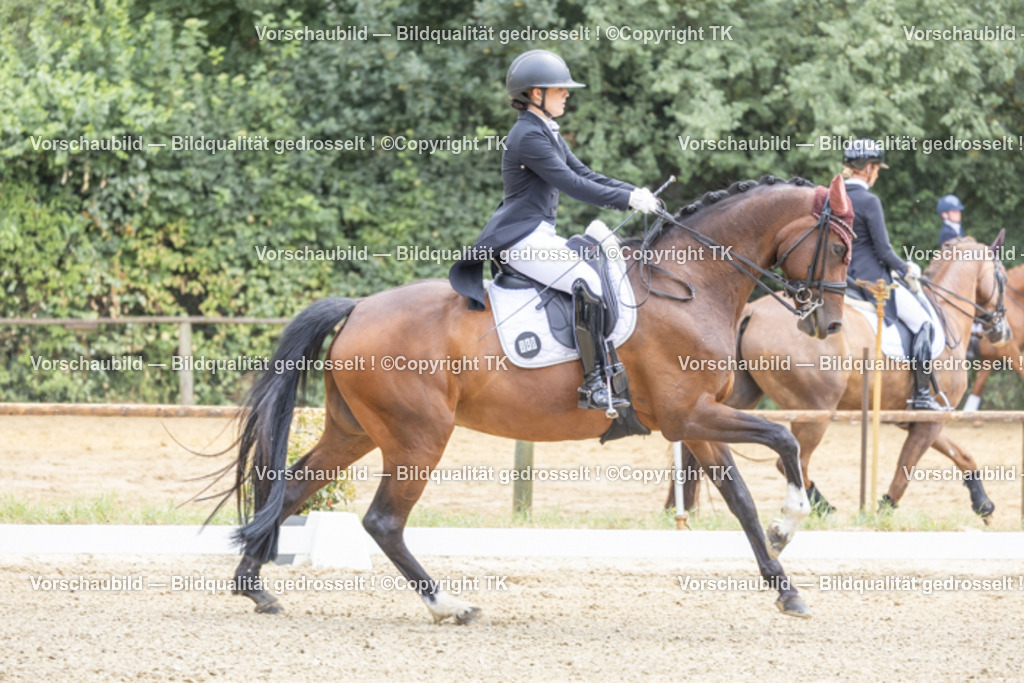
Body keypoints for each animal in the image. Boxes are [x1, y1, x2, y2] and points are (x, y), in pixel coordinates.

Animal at [214, 174, 854, 622]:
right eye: (841, 249)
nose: (827, 325)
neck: (692, 283)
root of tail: (357, 309)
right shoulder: (687, 415)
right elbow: (784, 438)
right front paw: (788, 525)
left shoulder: (696, 423)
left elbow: (741, 500)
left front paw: (786, 587)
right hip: (417, 436)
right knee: (383, 521)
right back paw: (449, 606)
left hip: (355, 430)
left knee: (292, 488)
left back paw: (254, 589)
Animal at [671, 236, 1009, 520]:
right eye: (1004, 277)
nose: (1002, 331)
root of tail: (751, 311)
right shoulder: (930, 420)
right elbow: (904, 471)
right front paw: (881, 513)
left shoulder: (923, 419)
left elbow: (963, 456)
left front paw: (984, 506)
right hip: (815, 410)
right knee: (793, 462)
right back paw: (822, 508)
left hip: (737, 398)